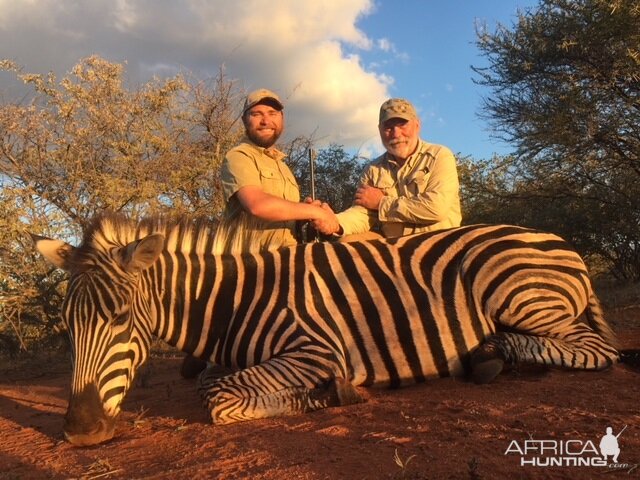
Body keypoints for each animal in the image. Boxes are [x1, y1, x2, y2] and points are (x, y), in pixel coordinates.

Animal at [33, 214, 620, 446]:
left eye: (120, 320)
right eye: (66, 329)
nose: (80, 433)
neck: (231, 301)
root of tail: (558, 240)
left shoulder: (314, 349)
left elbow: (219, 397)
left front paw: (330, 396)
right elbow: (211, 382)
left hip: (518, 294)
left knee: (600, 351)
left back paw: (496, 354)